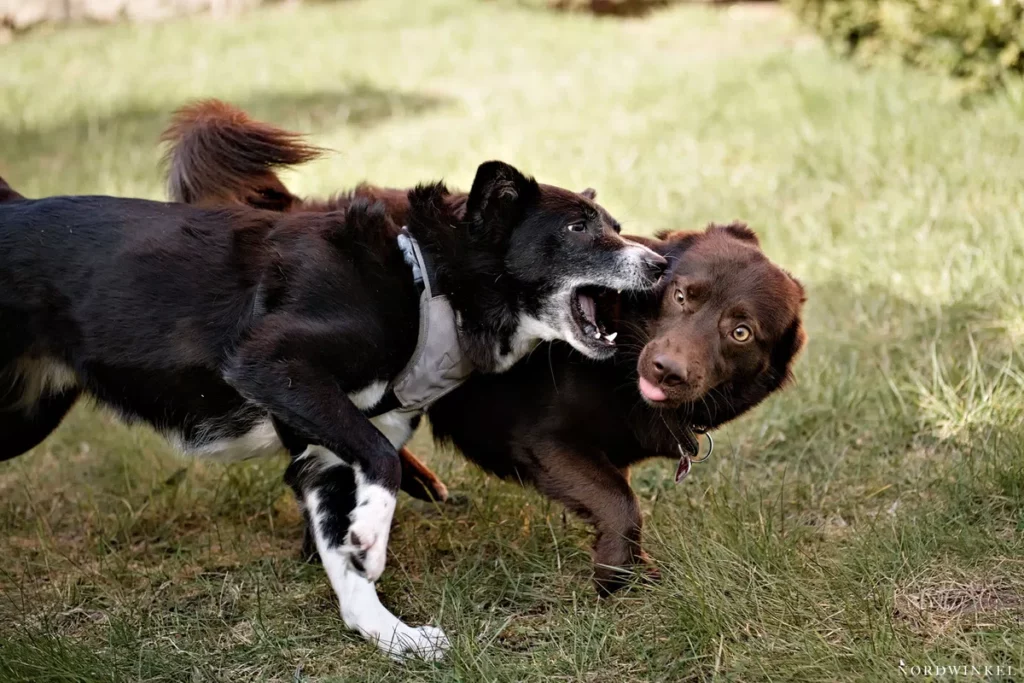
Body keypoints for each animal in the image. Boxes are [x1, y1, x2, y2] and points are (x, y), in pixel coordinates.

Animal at [0, 163, 663, 655]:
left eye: (615, 225)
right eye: (578, 227)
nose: (658, 265)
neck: (426, 276)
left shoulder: (324, 458)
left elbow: (347, 562)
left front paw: (393, 635)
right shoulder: (273, 364)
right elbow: (384, 464)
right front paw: (372, 540)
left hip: (26, 414)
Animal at [161, 100, 806, 593]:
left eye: (740, 331)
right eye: (680, 295)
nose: (668, 369)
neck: (621, 355)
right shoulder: (542, 439)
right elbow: (619, 501)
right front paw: (615, 576)